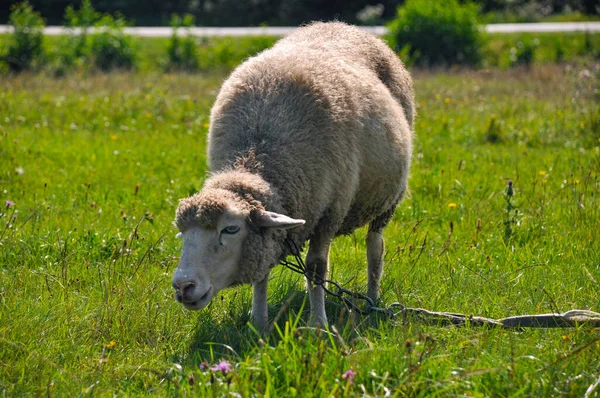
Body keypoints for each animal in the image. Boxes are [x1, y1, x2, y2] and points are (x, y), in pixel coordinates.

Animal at [171, 22, 414, 332]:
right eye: (182, 233)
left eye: (231, 229)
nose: (183, 286)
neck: (257, 156)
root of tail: (340, 25)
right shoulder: (273, 228)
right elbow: (262, 274)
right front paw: (258, 323)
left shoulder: (329, 212)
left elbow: (316, 268)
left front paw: (318, 324)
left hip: (385, 201)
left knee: (375, 247)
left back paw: (372, 299)